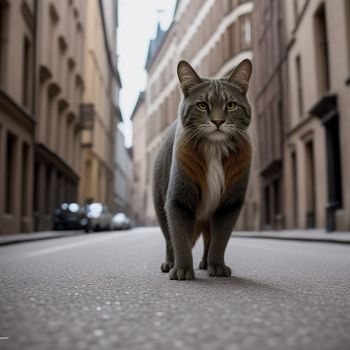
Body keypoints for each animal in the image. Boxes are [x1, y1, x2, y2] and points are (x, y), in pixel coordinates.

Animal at [153, 58, 252, 280]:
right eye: (202, 105)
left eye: (231, 105)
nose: (218, 121)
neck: (214, 148)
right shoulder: (178, 199)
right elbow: (180, 238)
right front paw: (182, 269)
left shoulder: (230, 204)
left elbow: (220, 239)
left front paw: (217, 266)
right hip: (159, 203)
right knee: (168, 238)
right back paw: (169, 262)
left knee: (208, 237)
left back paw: (206, 262)